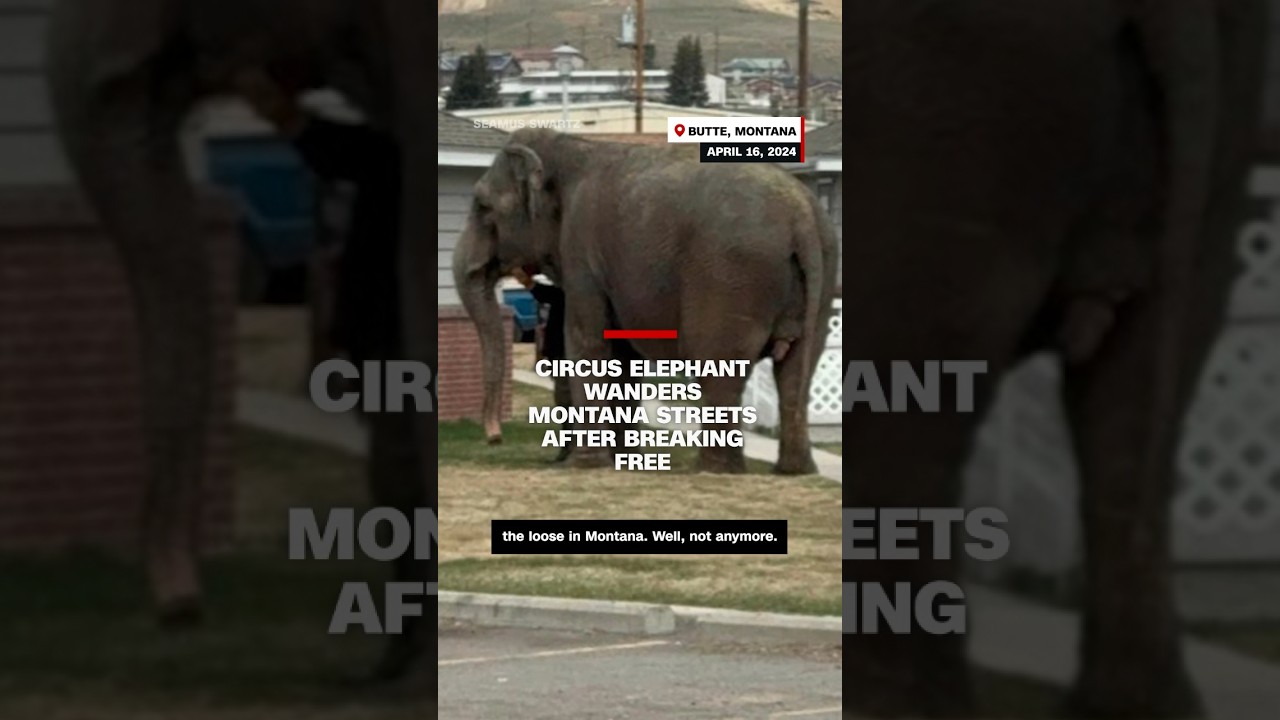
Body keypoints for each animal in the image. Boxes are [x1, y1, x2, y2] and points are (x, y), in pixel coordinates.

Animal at [450, 129, 839, 474]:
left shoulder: (581, 251)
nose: (494, 439)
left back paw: (714, 470)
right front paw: (624, 463)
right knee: (797, 371)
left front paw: (585, 466)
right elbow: (622, 356)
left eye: (482, 206)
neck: (568, 145)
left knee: (716, 364)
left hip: (731, 279)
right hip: (821, 278)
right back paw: (794, 471)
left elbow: (587, 343)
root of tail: (803, 217)